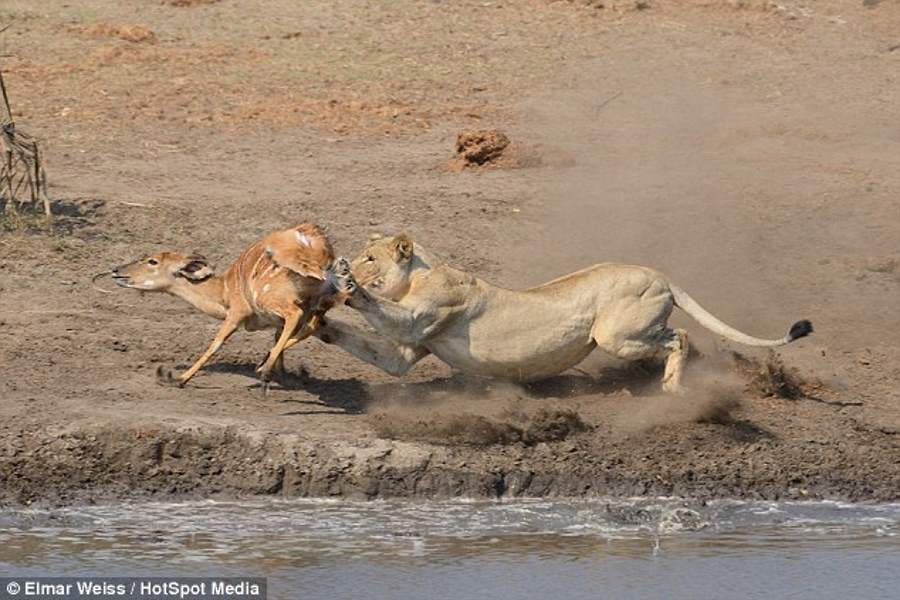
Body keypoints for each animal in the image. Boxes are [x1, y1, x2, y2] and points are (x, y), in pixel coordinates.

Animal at [316, 234, 812, 393]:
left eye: (370, 258)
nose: (348, 260)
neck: (420, 274)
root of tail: (663, 275)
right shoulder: (407, 350)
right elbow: (370, 349)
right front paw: (319, 323)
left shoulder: (424, 317)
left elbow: (383, 309)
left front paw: (349, 286)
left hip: (615, 333)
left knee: (681, 337)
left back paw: (671, 388)